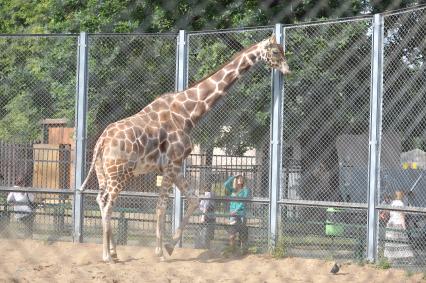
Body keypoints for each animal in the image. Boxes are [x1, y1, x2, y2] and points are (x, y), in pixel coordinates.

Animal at [79, 34, 290, 262]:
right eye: (276, 51)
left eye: (282, 50)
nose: (287, 69)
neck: (188, 114)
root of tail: (101, 141)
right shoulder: (172, 164)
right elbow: (162, 207)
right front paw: (160, 252)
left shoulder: (174, 167)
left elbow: (194, 200)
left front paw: (170, 247)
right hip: (120, 174)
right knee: (108, 203)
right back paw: (106, 255)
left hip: (103, 173)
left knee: (100, 200)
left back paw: (114, 252)